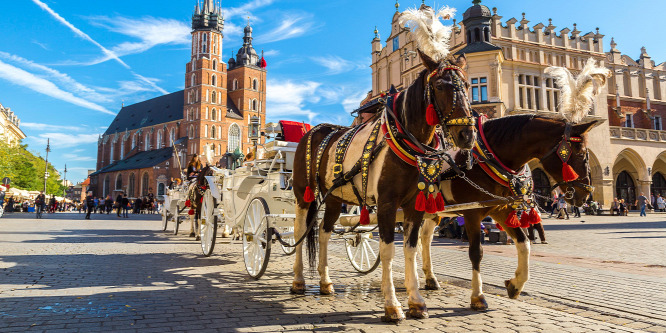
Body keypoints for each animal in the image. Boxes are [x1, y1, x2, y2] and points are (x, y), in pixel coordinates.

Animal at [290, 50, 472, 322]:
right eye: (440, 86)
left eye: (468, 85)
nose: (467, 135)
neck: (406, 141)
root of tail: (315, 130)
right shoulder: (387, 204)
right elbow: (388, 251)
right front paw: (393, 305)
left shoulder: (414, 206)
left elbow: (411, 249)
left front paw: (416, 301)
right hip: (304, 194)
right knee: (300, 230)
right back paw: (299, 281)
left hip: (333, 198)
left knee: (323, 232)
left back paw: (325, 282)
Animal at [420, 113, 600, 310]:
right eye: (581, 154)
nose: (586, 194)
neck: (485, 160)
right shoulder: (472, 213)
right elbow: (476, 253)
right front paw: (478, 296)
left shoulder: (501, 208)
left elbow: (524, 243)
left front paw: (515, 284)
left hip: (433, 211)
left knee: (425, 238)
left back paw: (430, 278)